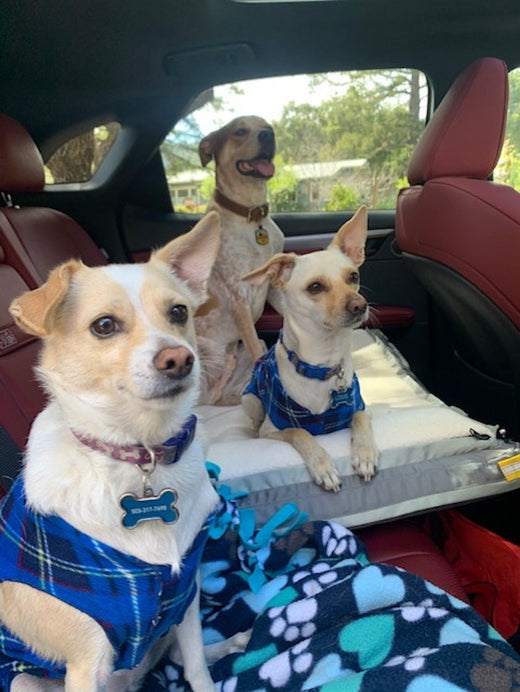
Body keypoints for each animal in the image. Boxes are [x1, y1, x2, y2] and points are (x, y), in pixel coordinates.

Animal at [1, 214, 222, 688]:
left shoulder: (184, 599)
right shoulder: (86, 663)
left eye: (179, 312)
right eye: (104, 325)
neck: (141, 455)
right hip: (24, 678)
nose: (179, 358)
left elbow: (196, 667)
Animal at [195, 113, 284, 406]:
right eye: (240, 131)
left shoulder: (273, 287)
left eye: (267, 127)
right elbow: (257, 351)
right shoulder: (238, 299)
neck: (251, 215)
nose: (269, 135)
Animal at [240, 205, 378, 492]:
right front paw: (322, 465)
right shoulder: (274, 430)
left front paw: (364, 454)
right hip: (250, 400)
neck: (323, 364)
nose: (360, 305)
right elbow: (300, 432)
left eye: (353, 276)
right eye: (315, 287)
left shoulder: (362, 408)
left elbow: (360, 419)